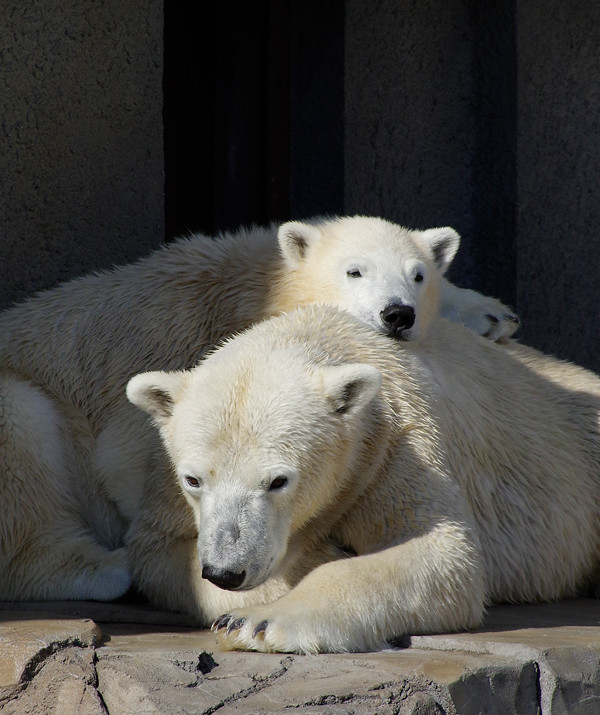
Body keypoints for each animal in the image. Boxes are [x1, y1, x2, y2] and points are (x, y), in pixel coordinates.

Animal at [0, 215, 516, 600]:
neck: (253, 296)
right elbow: (126, 455)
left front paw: (491, 314)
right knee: (26, 435)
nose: (397, 314)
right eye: (355, 271)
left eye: (419, 275)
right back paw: (107, 567)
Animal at [127, 302, 600, 656]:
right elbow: (159, 553)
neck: (323, 334)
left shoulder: (393, 445)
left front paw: (256, 622)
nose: (227, 570)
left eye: (278, 481)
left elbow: (443, 553)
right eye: (193, 480)